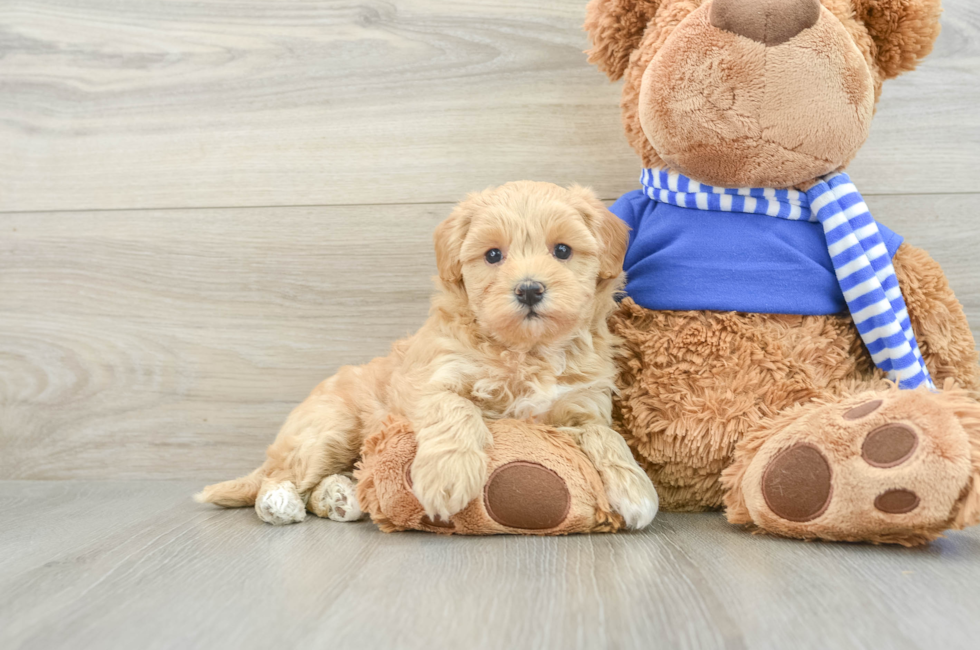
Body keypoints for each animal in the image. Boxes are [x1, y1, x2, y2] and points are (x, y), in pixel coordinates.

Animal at [197, 181, 660, 528]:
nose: (529, 289)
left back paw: (341, 498)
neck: (528, 350)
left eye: (562, 250)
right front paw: (448, 475)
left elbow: (607, 436)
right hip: (329, 428)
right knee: (281, 477)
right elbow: (456, 410)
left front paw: (635, 487)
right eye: (493, 255)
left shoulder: (583, 407)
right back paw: (281, 502)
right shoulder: (429, 380)